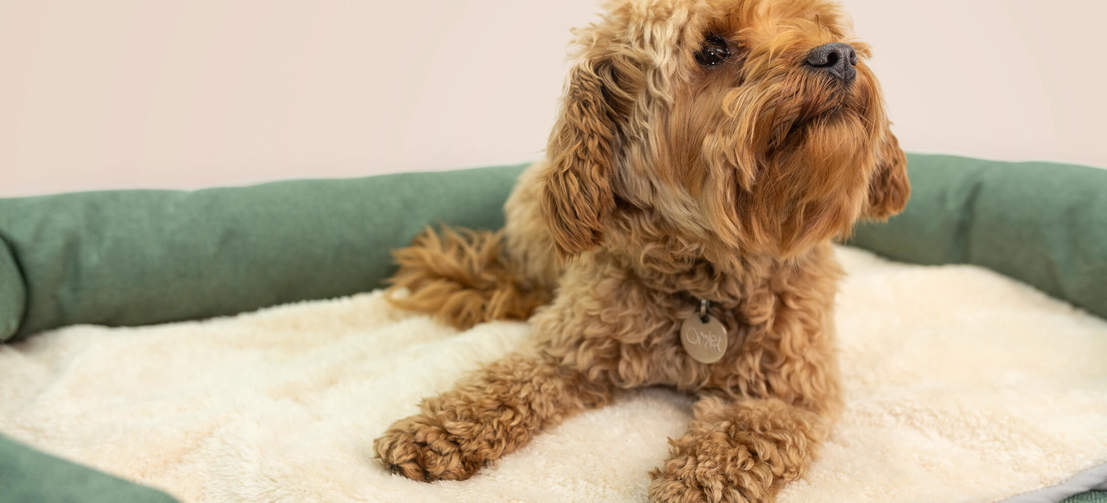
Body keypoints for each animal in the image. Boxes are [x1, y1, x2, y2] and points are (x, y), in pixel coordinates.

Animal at [371, 0, 907, 498]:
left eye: (819, 25)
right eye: (712, 50)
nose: (837, 54)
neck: (707, 279)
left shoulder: (788, 392)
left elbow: (741, 437)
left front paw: (693, 484)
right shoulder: (568, 349)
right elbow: (505, 382)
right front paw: (437, 430)